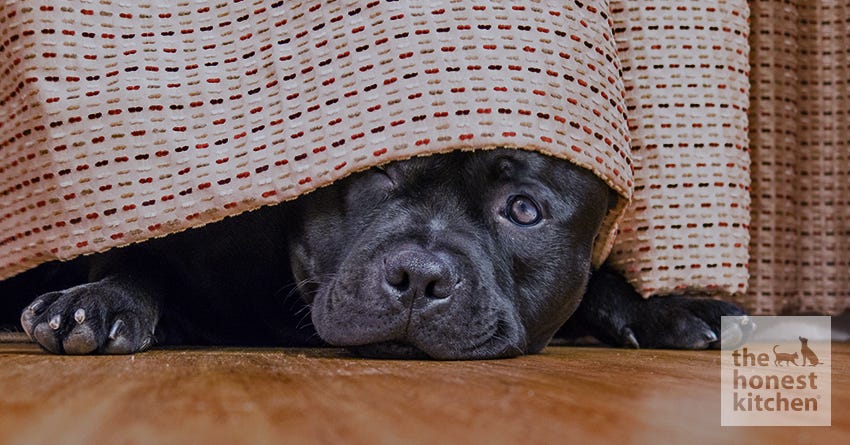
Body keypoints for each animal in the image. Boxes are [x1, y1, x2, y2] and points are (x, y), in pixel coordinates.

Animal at [13, 149, 744, 358]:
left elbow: (598, 280)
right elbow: (134, 258)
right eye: (379, 171)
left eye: (523, 210)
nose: (419, 276)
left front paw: (669, 306)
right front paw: (98, 300)